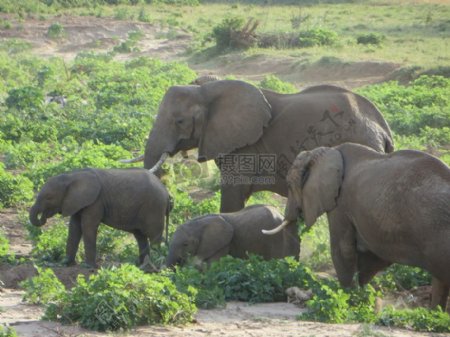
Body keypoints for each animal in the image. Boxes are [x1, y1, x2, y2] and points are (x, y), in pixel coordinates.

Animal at [28, 168, 172, 268]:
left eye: (48, 197)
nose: (43, 217)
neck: (72, 176)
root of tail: (167, 193)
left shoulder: (95, 201)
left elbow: (87, 226)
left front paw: (89, 266)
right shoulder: (78, 202)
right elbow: (74, 228)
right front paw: (66, 263)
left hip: (154, 207)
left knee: (154, 236)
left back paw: (152, 265)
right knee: (140, 236)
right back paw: (141, 265)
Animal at [264, 141, 450, 308]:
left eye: (289, 185)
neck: (327, 151)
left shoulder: (340, 204)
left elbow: (342, 250)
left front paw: (349, 299)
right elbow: (372, 257)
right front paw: (361, 297)